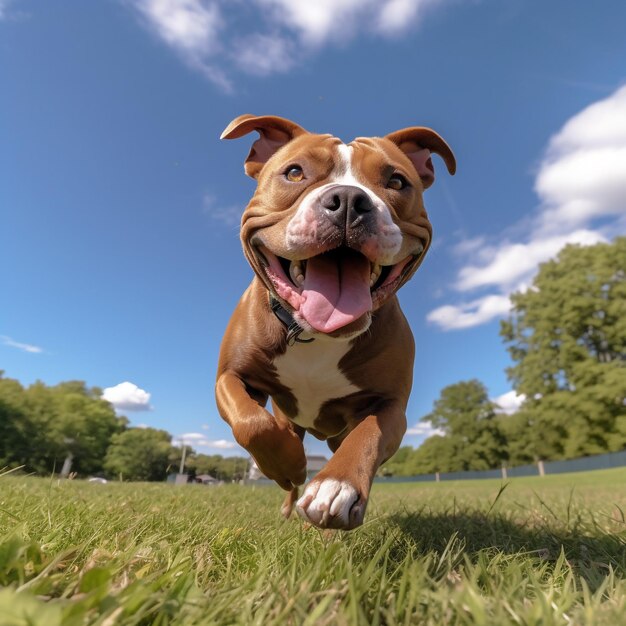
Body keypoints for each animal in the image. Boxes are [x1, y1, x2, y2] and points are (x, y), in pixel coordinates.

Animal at [216, 116, 454, 528]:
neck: (315, 335)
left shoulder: (391, 406)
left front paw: (336, 485)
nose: (347, 201)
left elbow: (369, 435)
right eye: (294, 172)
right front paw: (290, 465)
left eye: (396, 182)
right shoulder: (231, 377)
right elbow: (252, 424)